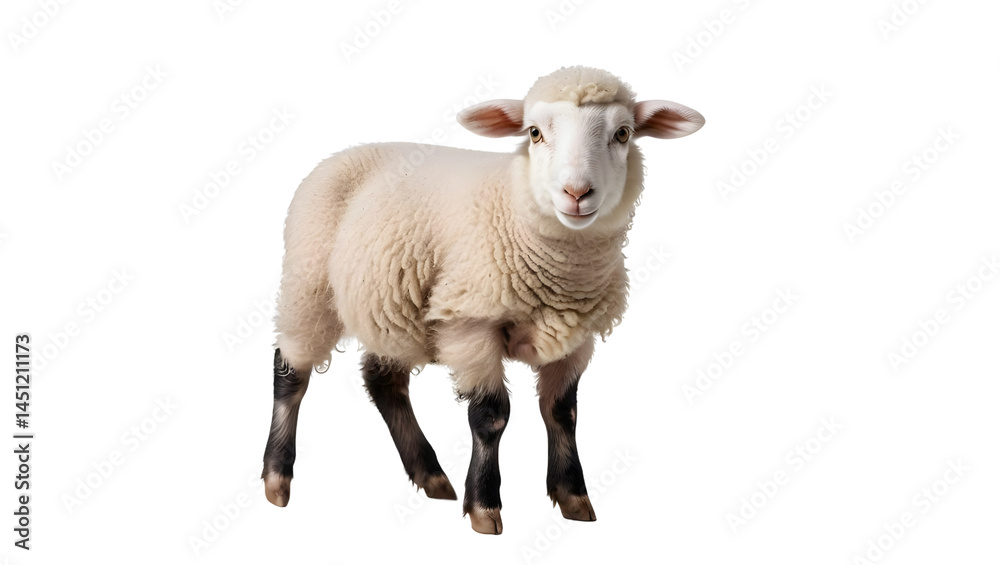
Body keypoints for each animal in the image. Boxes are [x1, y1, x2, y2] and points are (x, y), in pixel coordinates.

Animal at [261, 66, 704, 534]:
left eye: (623, 133)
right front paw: (484, 507)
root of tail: (347, 151)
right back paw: (277, 477)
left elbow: (562, 412)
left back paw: (430, 474)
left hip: (392, 310)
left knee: (383, 381)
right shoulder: (469, 323)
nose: (576, 193)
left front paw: (573, 496)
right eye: (534, 133)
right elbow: (491, 416)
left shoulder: (578, 336)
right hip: (308, 284)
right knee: (289, 372)